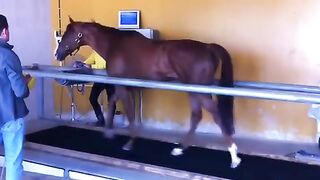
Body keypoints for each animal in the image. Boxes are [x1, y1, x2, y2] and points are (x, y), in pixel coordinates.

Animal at [54, 17, 240, 168]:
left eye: (68, 34)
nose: (57, 54)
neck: (115, 45)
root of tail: (209, 48)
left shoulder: (124, 86)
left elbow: (129, 113)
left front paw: (129, 143)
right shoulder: (123, 87)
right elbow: (114, 103)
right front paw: (109, 132)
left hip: (200, 91)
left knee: (216, 114)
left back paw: (234, 157)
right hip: (192, 90)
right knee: (196, 116)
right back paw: (180, 150)